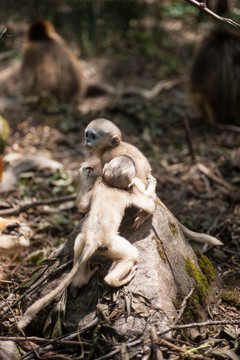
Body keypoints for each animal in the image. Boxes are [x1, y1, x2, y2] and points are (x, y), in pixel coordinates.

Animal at [16, 155, 156, 330]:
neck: (111, 185)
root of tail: (92, 241)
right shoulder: (131, 191)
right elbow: (150, 205)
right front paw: (148, 198)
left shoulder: (98, 184)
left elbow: (82, 206)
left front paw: (83, 174)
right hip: (109, 245)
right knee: (129, 255)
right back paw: (118, 280)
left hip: (83, 241)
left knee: (78, 246)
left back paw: (83, 277)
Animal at [82, 117, 223, 245]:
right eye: (87, 135)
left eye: (93, 137)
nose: (87, 141)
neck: (113, 146)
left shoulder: (106, 157)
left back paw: (146, 213)